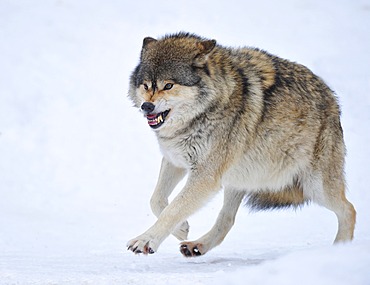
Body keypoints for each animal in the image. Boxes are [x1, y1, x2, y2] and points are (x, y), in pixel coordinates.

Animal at [126, 32, 356, 256]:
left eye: (168, 85)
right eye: (146, 85)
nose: (147, 106)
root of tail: (333, 99)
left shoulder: (205, 176)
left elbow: (174, 208)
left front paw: (146, 240)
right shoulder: (175, 160)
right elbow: (157, 201)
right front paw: (181, 228)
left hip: (315, 187)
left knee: (349, 210)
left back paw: (340, 251)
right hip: (236, 180)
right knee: (227, 220)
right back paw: (197, 246)